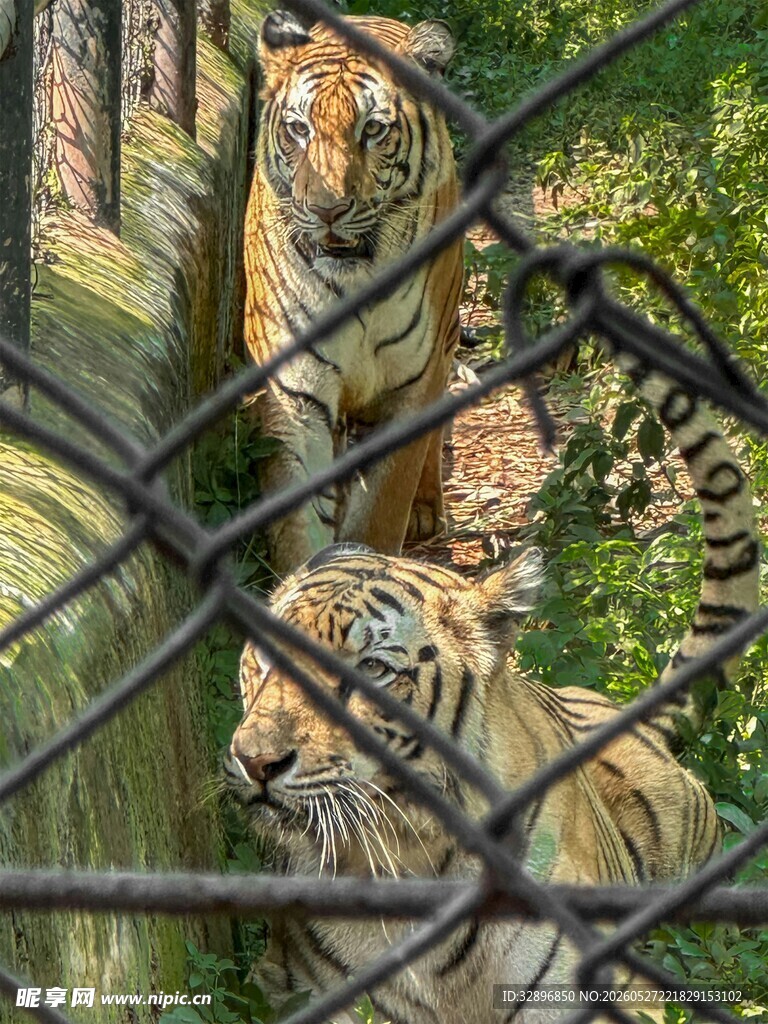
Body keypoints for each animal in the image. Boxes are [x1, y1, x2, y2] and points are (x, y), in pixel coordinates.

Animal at [243, 10, 464, 577]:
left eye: (374, 129)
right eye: (299, 129)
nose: (327, 209)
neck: (354, 280)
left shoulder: (411, 384)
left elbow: (379, 514)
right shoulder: (294, 393)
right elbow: (297, 523)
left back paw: (426, 509)